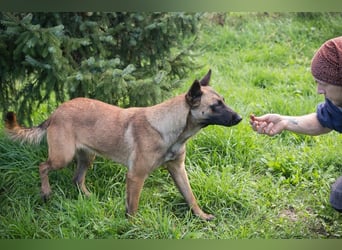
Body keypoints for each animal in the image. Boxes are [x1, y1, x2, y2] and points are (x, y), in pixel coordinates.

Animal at [4, 69, 242, 220]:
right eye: (215, 106)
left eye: (223, 101)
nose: (240, 118)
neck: (169, 127)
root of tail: (56, 111)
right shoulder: (136, 176)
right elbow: (133, 206)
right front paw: (133, 227)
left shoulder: (178, 169)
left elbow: (190, 197)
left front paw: (201, 216)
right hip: (63, 156)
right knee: (43, 167)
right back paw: (46, 192)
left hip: (87, 157)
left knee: (77, 179)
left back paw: (88, 197)